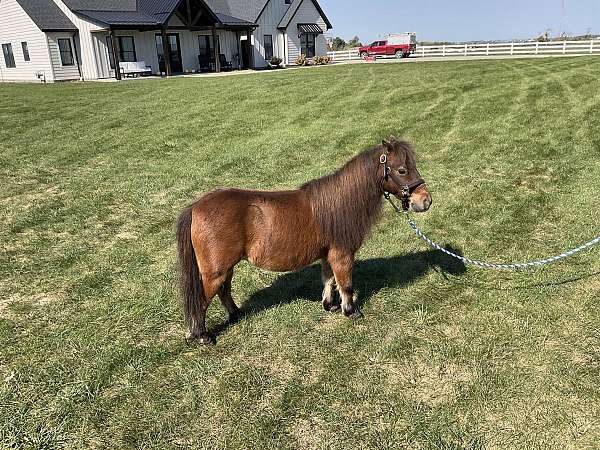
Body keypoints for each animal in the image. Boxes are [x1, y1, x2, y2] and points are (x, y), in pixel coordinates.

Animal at [176, 135, 434, 342]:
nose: (425, 201)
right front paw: (351, 311)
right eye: (402, 170)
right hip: (214, 272)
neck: (339, 204)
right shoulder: (342, 253)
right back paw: (202, 336)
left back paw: (236, 314)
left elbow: (329, 279)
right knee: (202, 300)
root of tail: (195, 207)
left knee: (224, 291)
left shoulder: (327, 253)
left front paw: (330, 305)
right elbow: (345, 283)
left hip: (225, 268)